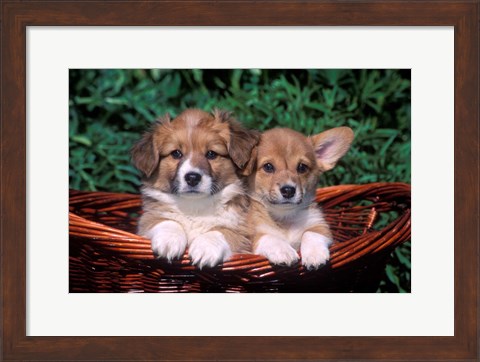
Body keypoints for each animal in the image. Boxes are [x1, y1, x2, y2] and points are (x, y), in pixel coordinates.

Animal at [130, 107, 258, 268]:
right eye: (176, 153)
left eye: (211, 154)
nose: (192, 178)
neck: (194, 205)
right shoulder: (147, 220)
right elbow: (167, 221)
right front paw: (169, 240)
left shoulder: (241, 232)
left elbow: (221, 231)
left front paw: (206, 248)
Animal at [248, 126, 352, 270]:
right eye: (268, 167)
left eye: (302, 167)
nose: (288, 190)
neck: (285, 217)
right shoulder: (251, 236)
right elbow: (269, 237)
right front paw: (284, 251)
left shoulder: (320, 225)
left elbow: (310, 233)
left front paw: (315, 255)